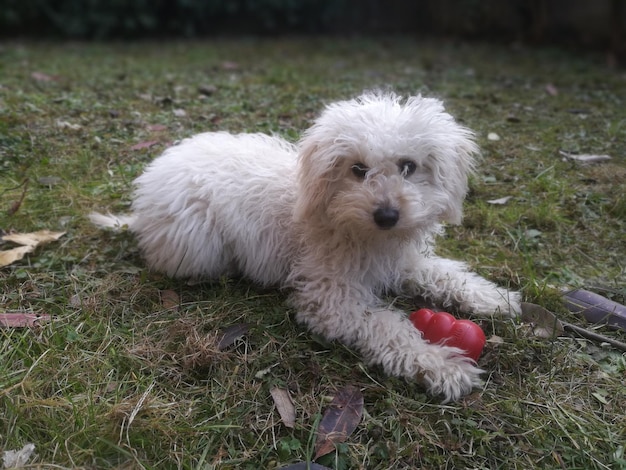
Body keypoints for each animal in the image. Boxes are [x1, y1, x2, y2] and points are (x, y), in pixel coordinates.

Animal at [90, 92, 520, 400]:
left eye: (408, 166)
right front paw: (441, 365)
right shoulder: (328, 298)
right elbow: (386, 326)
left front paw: (495, 298)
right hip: (198, 243)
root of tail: (145, 198)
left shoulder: (403, 262)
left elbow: (445, 274)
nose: (387, 215)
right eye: (358, 169)